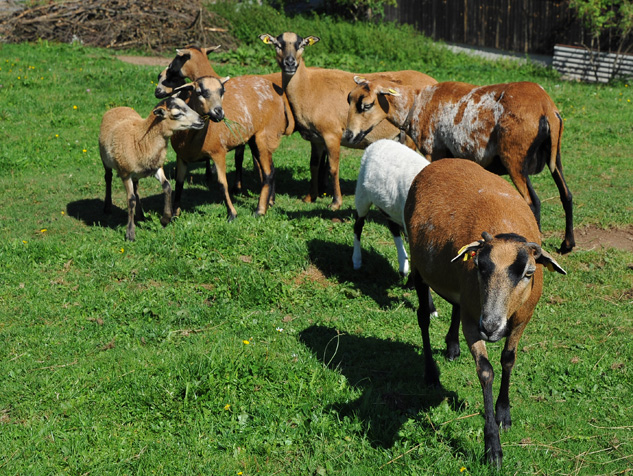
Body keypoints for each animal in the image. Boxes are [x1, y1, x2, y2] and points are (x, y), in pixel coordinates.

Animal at [98, 95, 205, 242]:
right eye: (177, 114)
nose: (202, 120)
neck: (142, 139)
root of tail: (117, 107)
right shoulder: (125, 173)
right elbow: (130, 200)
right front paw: (130, 234)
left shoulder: (156, 167)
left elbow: (167, 186)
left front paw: (165, 219)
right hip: (105, 159)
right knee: (108, 178)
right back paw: (108, 207)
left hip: (136, 174)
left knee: (136, 188)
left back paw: (140, 215)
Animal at [260, 32, 436, 211]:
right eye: (277, 44)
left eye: (302, 44)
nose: (290, 63)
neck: (307, 88)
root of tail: (434, 81)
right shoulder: (316, 139)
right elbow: (313, 165)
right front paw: (310, 197)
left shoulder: (332, 134)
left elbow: (333, 168)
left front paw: (335, 203)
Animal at [350, 139, 430, 278]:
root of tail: (380, 141)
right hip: (361, 193)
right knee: (358, 226)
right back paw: (357, 260)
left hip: (389, 206)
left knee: (393, 228)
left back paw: (403, 266)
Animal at [402, 158, 564, 466]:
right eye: (479, 266)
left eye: (529, 273)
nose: (490, 327)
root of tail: (442, 161)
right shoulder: (472, 320)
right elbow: (486, 371)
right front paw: (493, 448)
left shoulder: (521, 319)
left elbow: (509, 360)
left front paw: (504, 414)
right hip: (418, 266)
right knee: (422, 318)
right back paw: (431, 373)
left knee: (454, 304)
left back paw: (452, 347)